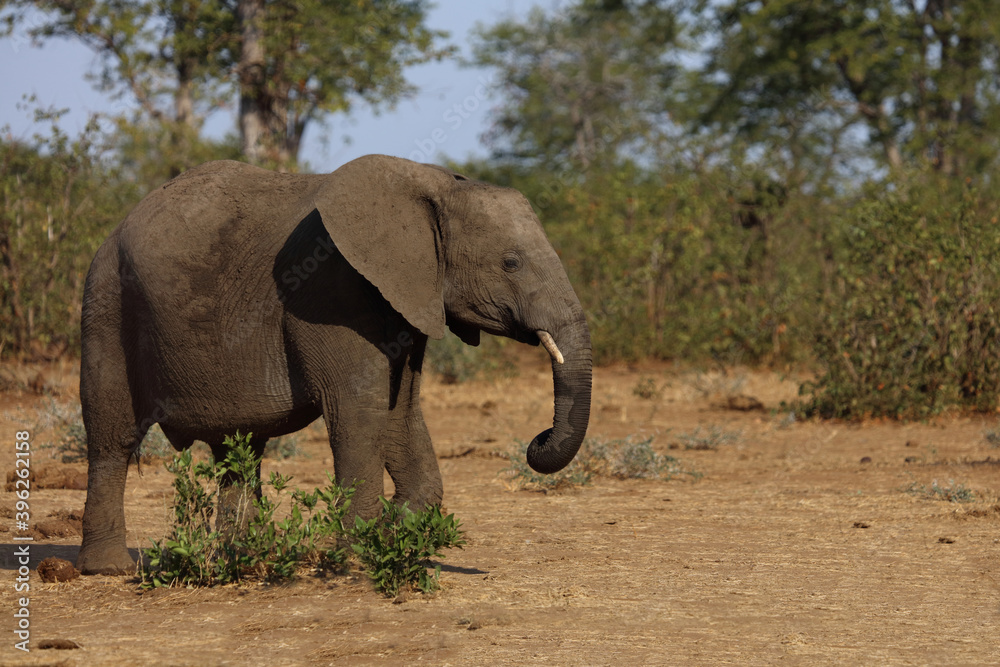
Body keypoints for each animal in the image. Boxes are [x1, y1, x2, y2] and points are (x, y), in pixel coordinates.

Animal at [76, 154, 592, 575]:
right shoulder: (327, 289)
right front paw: (359, 556)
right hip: (106, 302)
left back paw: (241, 558)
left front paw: (396, 529)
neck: (435, 185)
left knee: (238, 448)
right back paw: (109, 568)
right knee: (111, 436)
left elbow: (401, 409)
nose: (537, 440)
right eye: (511, 263)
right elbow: (359, 407)